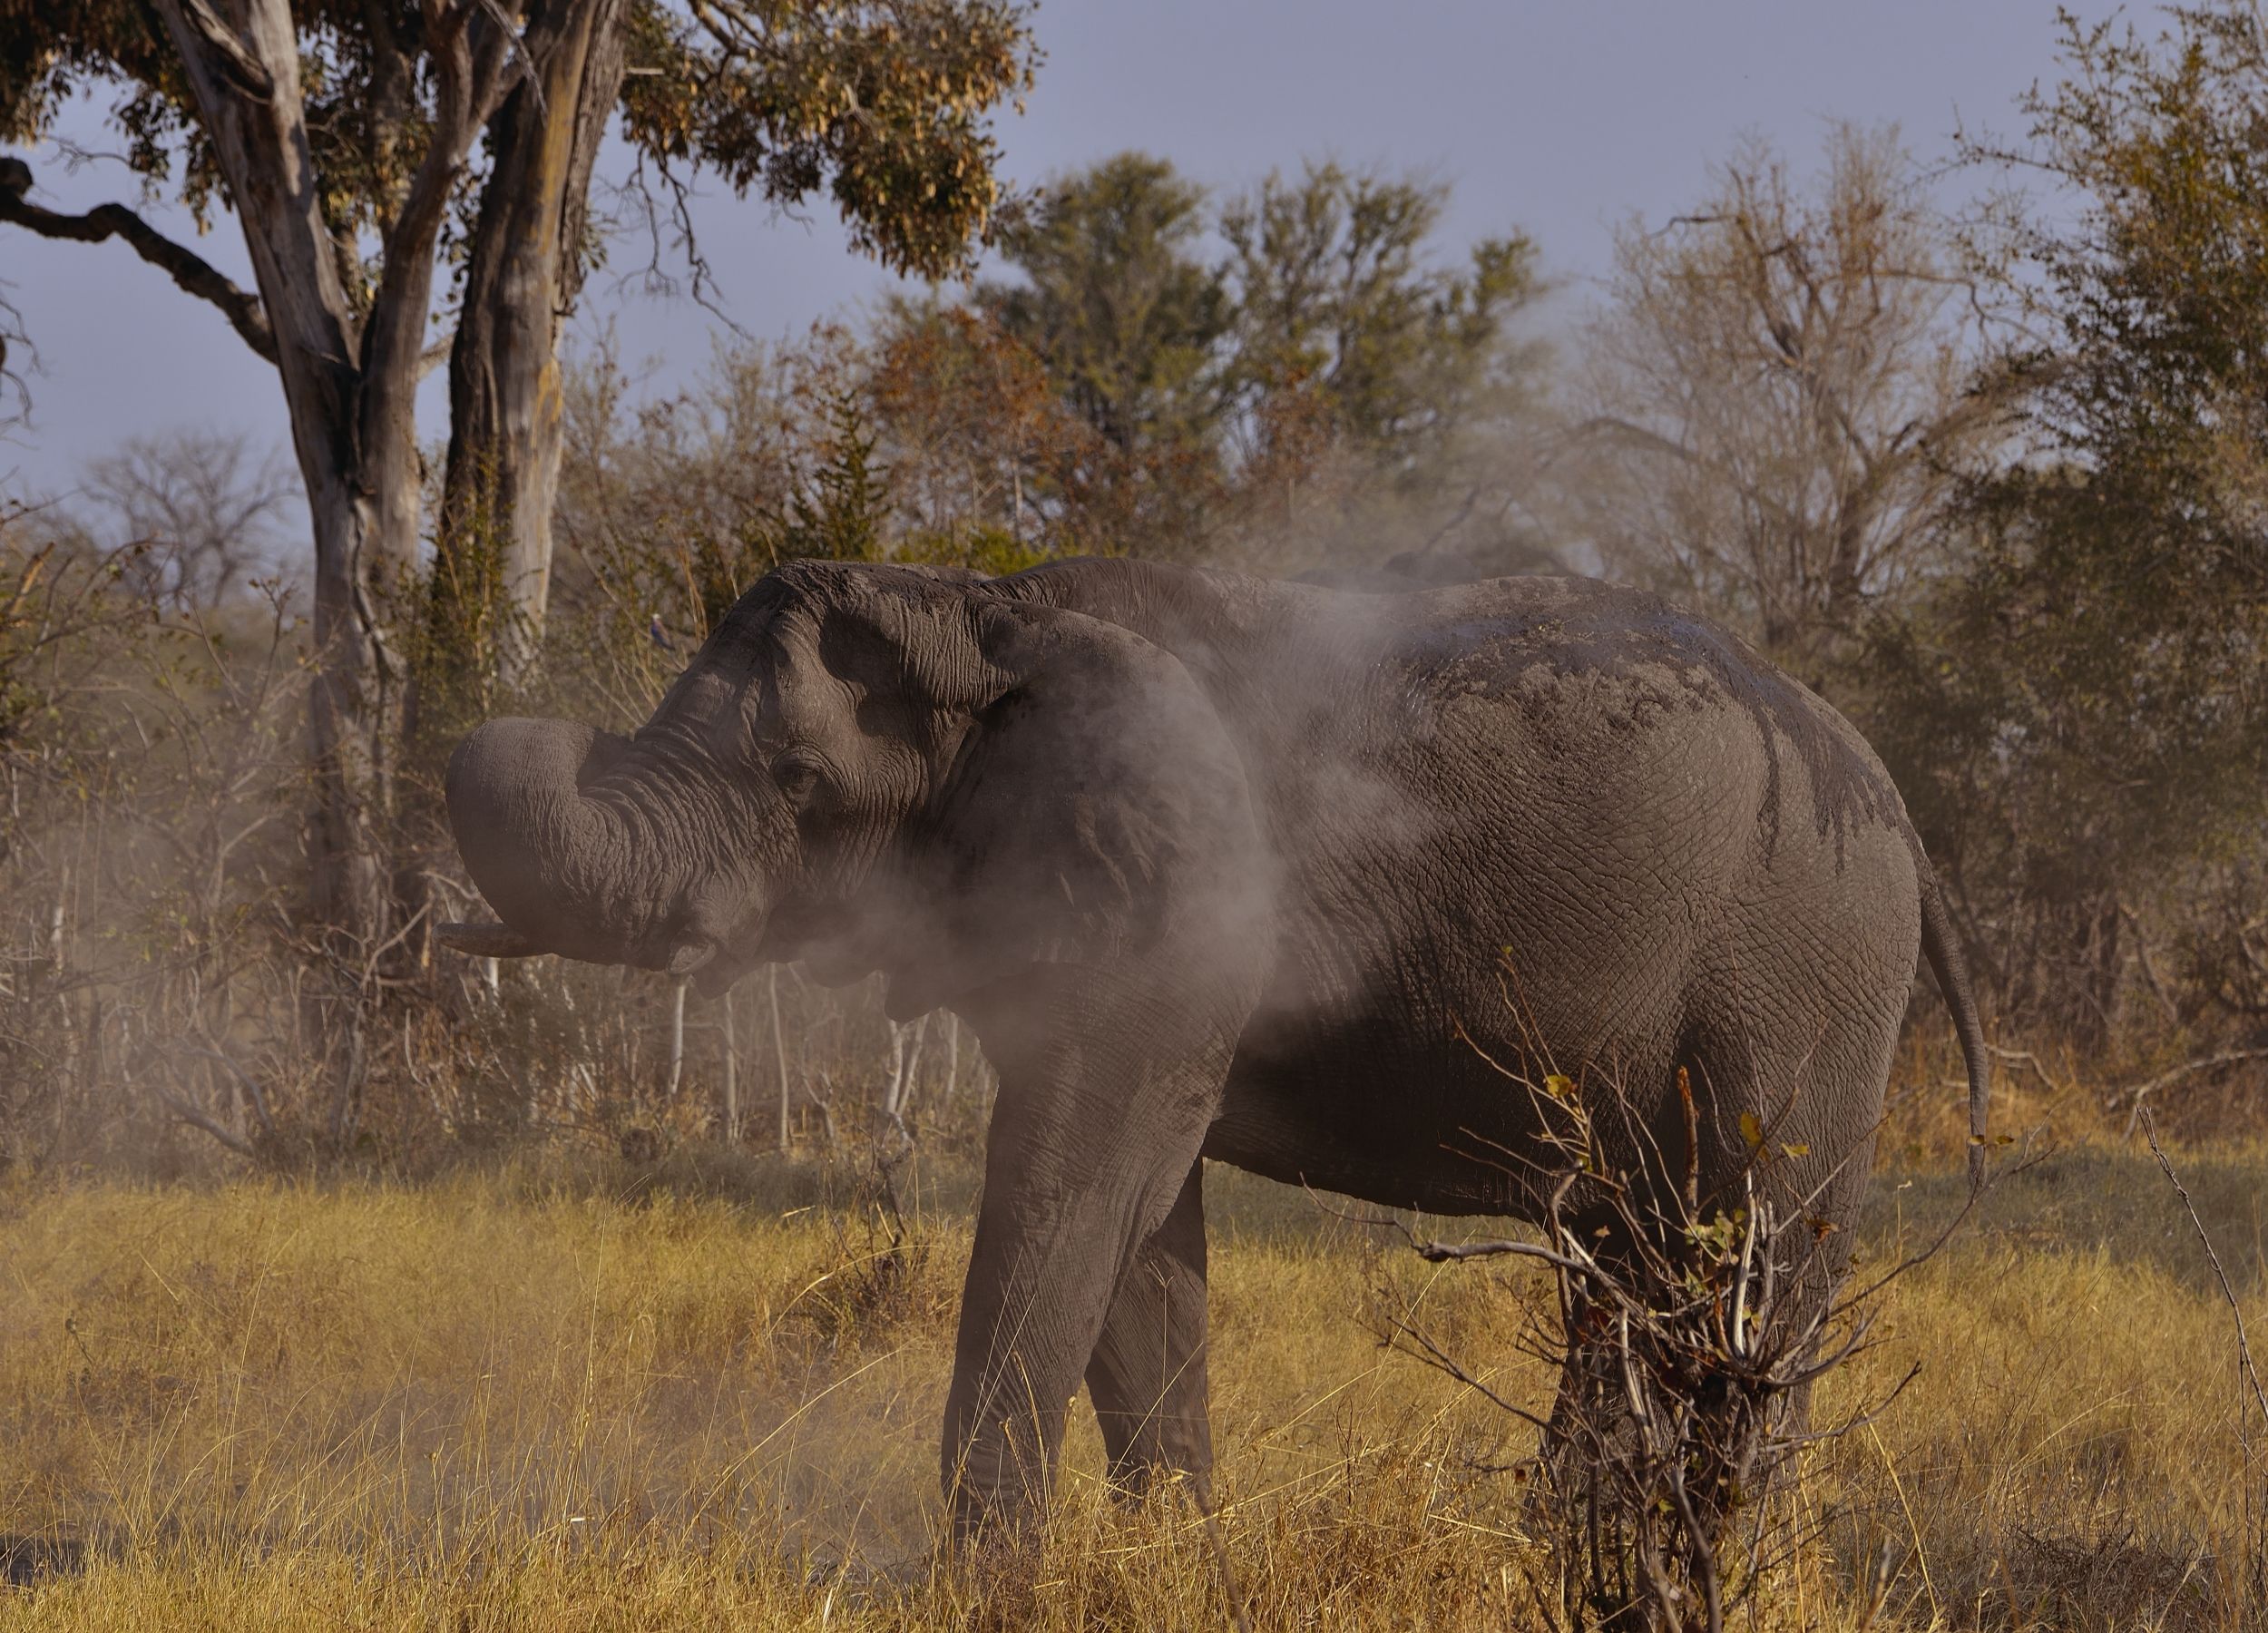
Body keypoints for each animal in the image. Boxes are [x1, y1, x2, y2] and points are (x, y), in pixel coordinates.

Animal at [438, 555, 1990, 1534]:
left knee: (1749, 1260)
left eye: (801, 781)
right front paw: (1176, 1564)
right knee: (1636, 1264)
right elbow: (1136, 1233)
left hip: (1809, 969)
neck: (985, 609)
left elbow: (1075, 1185)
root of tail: (1900, 814)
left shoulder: (1171, 894)